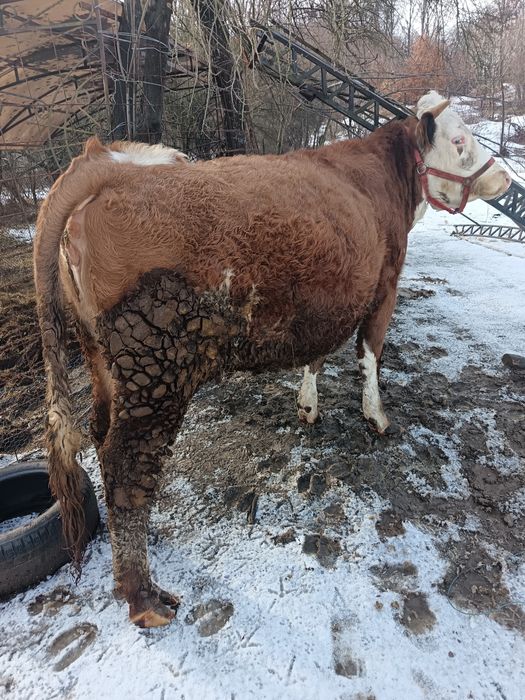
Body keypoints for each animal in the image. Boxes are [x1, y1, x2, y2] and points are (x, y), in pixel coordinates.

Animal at [34, 91, 510, 627]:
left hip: (102, 358)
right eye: (460, 141)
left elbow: (318, 357)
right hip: (155, 365)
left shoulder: (330, 300)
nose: (505, 177)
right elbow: (370, 354)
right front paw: (377, 418)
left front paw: (308, 406)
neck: (380, 179)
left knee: (100, 436)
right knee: (125, 461)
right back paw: (143, 596)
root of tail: (106, 164)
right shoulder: (384, 285)